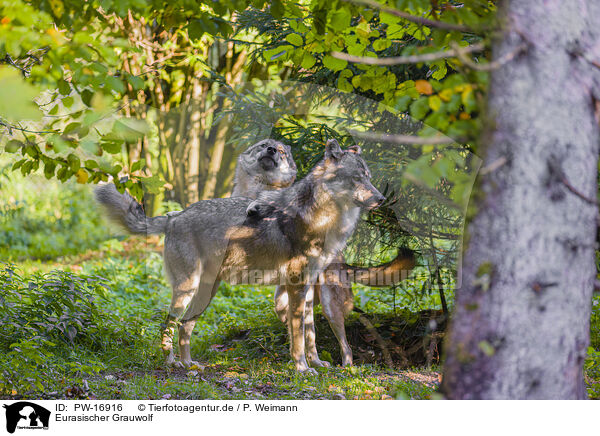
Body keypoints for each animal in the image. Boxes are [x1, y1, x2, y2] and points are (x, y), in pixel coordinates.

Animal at [95, 140, 384, 374]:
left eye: (369, 177)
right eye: (357, 178)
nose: (381, 199)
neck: (324, 219)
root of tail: (174, 215)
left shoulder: (308, 288)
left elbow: (310, 333)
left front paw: (316, 364)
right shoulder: (297, 286)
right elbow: (299, 337)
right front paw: (302, 369)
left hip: (207, 294)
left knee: (185, 326)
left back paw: (189, 365)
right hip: (186, 290)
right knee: (168, 325)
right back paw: (172, 363)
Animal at [232, 140, 414, 364]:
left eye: (281, 151)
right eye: (264, 145)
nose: (381, 199)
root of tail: (344, 265)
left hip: (330, 308)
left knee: (344, 346)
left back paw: (342, 367)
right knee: (298, 323)